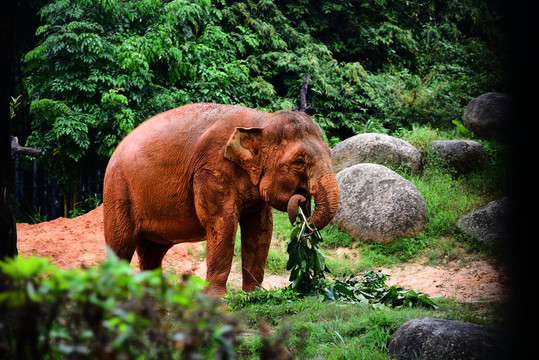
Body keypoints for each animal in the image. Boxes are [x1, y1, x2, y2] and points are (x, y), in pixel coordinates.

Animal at [103, 102, 340, 296]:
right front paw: (217, 299)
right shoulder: (211, 170)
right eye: (299, 161)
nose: (302, 202)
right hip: (118, 190)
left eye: (330, 153)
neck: (261, 120)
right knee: (121, 245)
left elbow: (261, 227)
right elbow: (222, 222)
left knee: (152, 251)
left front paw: (254, 295)